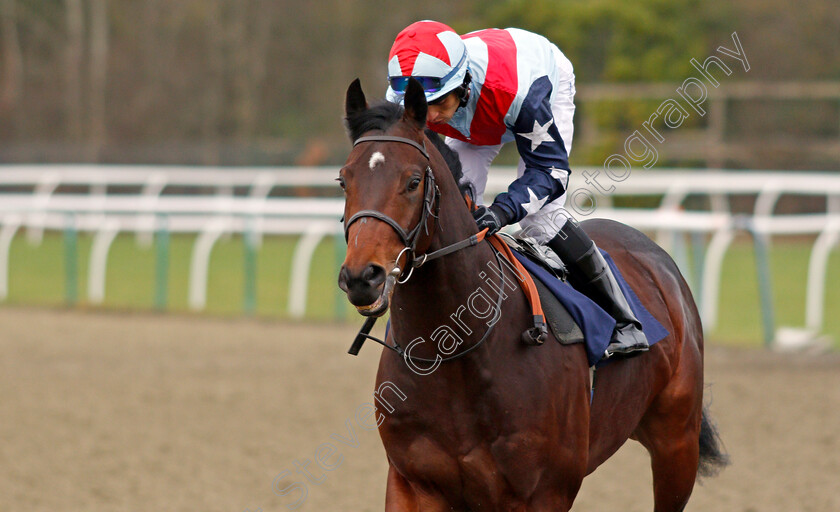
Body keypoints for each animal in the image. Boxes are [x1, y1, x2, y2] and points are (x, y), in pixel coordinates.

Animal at [338, 77, 724, 512]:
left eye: (413, 181)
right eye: (343, 179)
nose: (362, 276)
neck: (459, 352)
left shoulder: (544, 491)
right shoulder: (412, 483)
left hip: (677, 442)